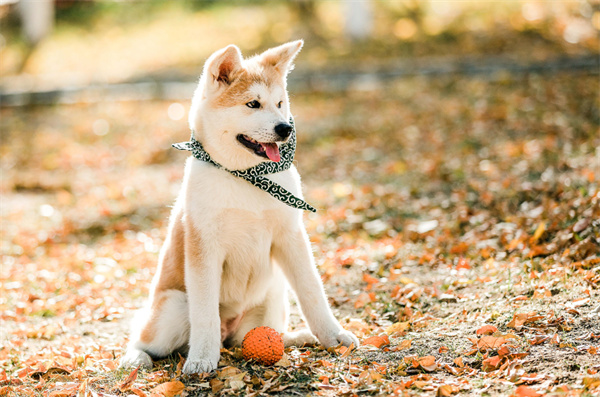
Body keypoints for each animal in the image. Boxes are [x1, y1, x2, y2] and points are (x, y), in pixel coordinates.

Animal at [119, 38, 358, 372]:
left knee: (261, 334)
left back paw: (298, 337)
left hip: (273, 295)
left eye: (280, 103)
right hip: (173, 311)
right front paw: (202, 359)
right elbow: (205, 313)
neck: (246, 177)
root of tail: (229, 332)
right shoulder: (204, 247)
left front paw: (333, 336)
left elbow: (312, 292)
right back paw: (136, 357)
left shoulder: (290, 236)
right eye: (252, 104)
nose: (284, 128)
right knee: (146, 339)